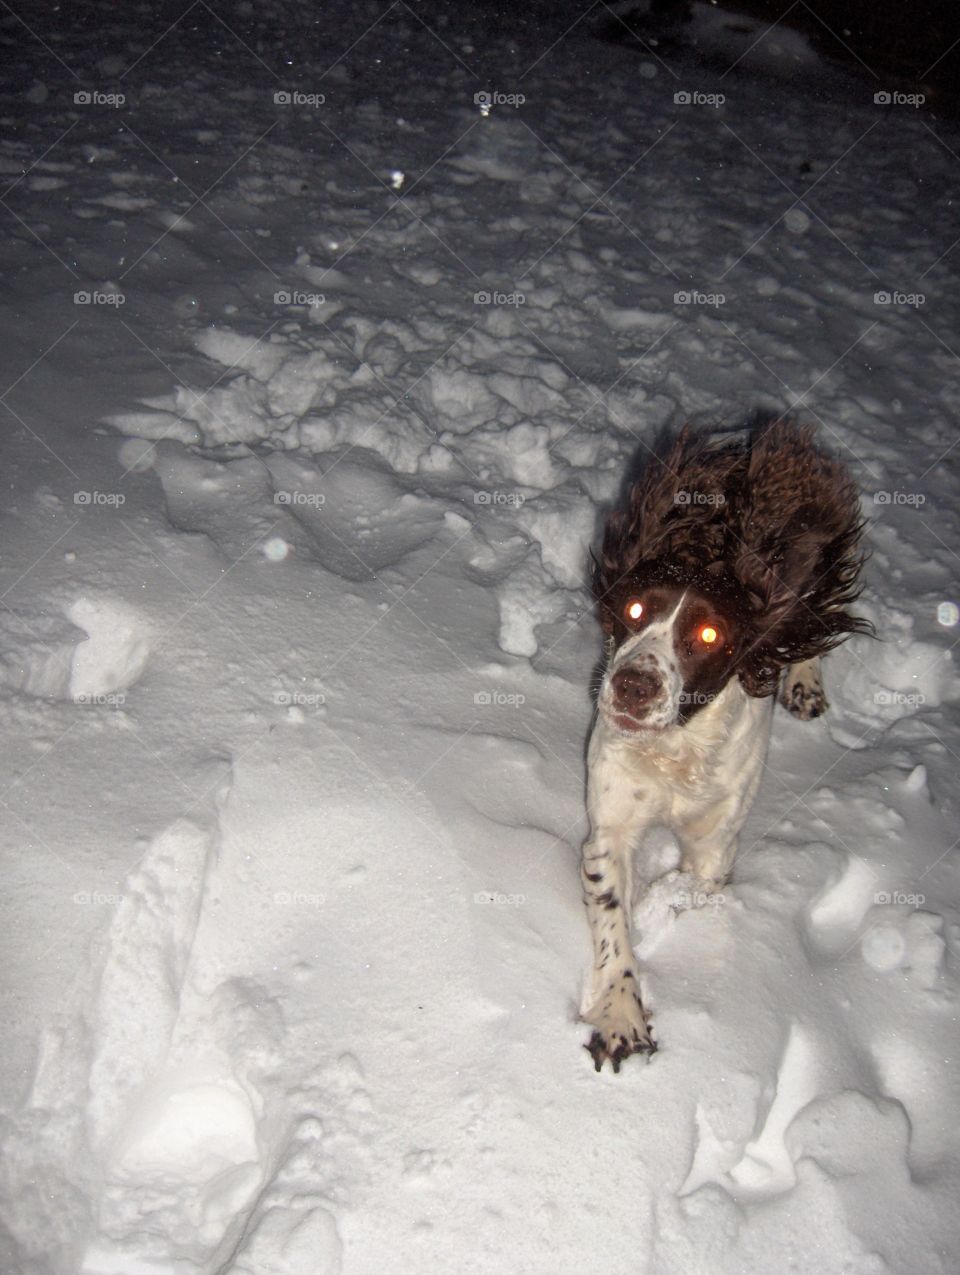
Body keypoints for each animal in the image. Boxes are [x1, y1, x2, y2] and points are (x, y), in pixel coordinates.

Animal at [576, 418, 866, 1065]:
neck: (676, 749)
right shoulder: (610, 828)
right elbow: (613, 921)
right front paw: (620, 1013)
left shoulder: (715, 843)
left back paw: (804, 683)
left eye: (709, 634)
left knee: (803, 624)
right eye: (634, 607)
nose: (632, 686)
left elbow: (691, 887)